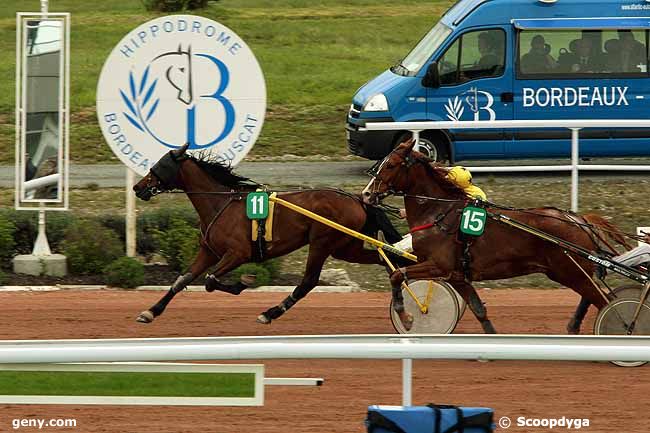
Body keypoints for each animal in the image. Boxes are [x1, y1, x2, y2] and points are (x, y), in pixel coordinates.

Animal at [130, 144, 400, 324]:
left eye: (160, 166)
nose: (137, 187)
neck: (220, 204)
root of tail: (357, 199)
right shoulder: (208, 251)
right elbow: (182, 280)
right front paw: (150, 311)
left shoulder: (237, 253)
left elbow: (210, 280)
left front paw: (244, 282)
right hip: (345, 247)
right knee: (385, 259)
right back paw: (398, 296)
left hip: (322, 243)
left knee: (308, 282)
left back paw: (270, 313)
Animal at [360, 138, 628, 334]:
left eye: (390, 165)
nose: (366, 194)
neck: (438, 213)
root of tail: (578, 220)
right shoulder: (457, 275)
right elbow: (479, 310)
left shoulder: (439, 265)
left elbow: (396, 275)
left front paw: (406, 317)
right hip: (571, 272)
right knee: (594, 297)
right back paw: (575, 327)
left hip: (569, 271)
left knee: (603, 301)